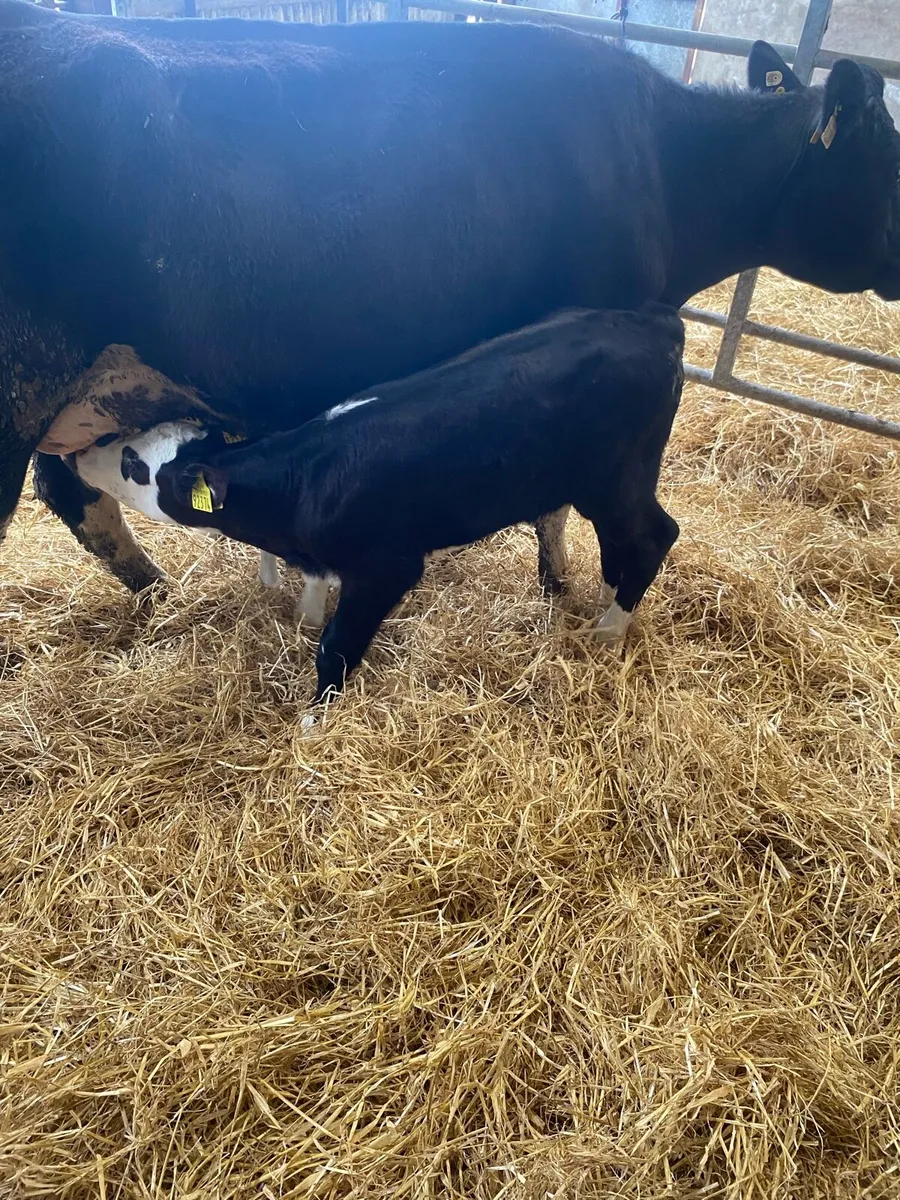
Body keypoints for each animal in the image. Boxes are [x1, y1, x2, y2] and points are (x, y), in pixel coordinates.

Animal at [1, 2, 898, 601]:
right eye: (887, 156)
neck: (661, 161)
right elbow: (557, 505)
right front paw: (558, 583)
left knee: (76, 494)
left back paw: (157, 594)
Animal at [72, 305, 685, 702]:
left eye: (135, 463)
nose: (78, 454)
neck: (303, 482)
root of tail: (656, 323)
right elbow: (311, 607)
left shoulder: (389, 565)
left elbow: (335, 646)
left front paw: (313, 724)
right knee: (620, 543)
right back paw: (602, 606)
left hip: (617, 477)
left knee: (654, 536)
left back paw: (609, 631)